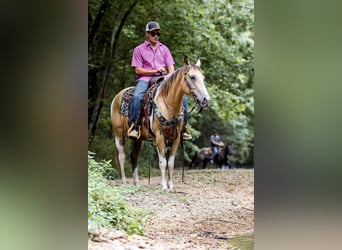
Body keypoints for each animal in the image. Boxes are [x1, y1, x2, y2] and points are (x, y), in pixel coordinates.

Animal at [111, 56, 210, 189]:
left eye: (203, 78)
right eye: (192, 77)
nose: (206, 100)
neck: (169, 105)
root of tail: (118, 96)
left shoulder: (176, 137)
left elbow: (171, 162)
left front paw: (171, 186)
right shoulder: (159, 136)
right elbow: (162, 162)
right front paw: (163, 186)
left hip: (139, 139)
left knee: (134, 156)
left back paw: (136, 183)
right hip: (118, 134)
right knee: (121, 156)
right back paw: (124, 182)